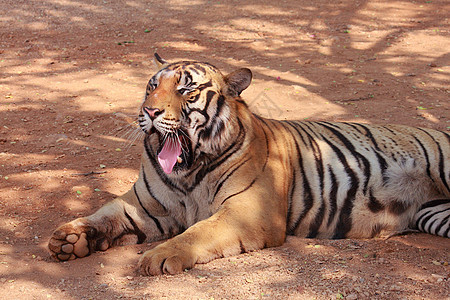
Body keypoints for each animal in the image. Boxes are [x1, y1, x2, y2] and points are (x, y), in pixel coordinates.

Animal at [47, 53, 448, 274]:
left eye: (186, 89)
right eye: (152, 86)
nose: (149, 111)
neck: (188, 172)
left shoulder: (247, 211)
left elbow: (198, 232)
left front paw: (159, 257)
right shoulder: (146, 207)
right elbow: (105, 213)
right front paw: (70, 239)